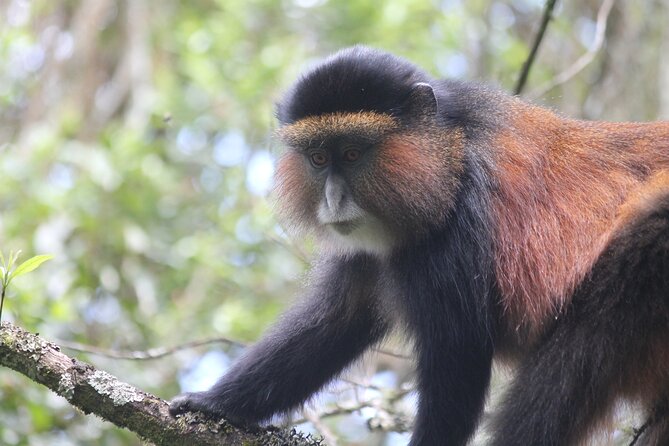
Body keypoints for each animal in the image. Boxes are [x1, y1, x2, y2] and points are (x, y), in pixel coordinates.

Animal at [169, 46, 669, 445]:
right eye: (318, 158)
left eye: (352, 153)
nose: (333, 200)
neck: (450, 151)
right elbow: (338, 318)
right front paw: (215, 403)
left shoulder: (459, 226)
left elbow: (458, 361)